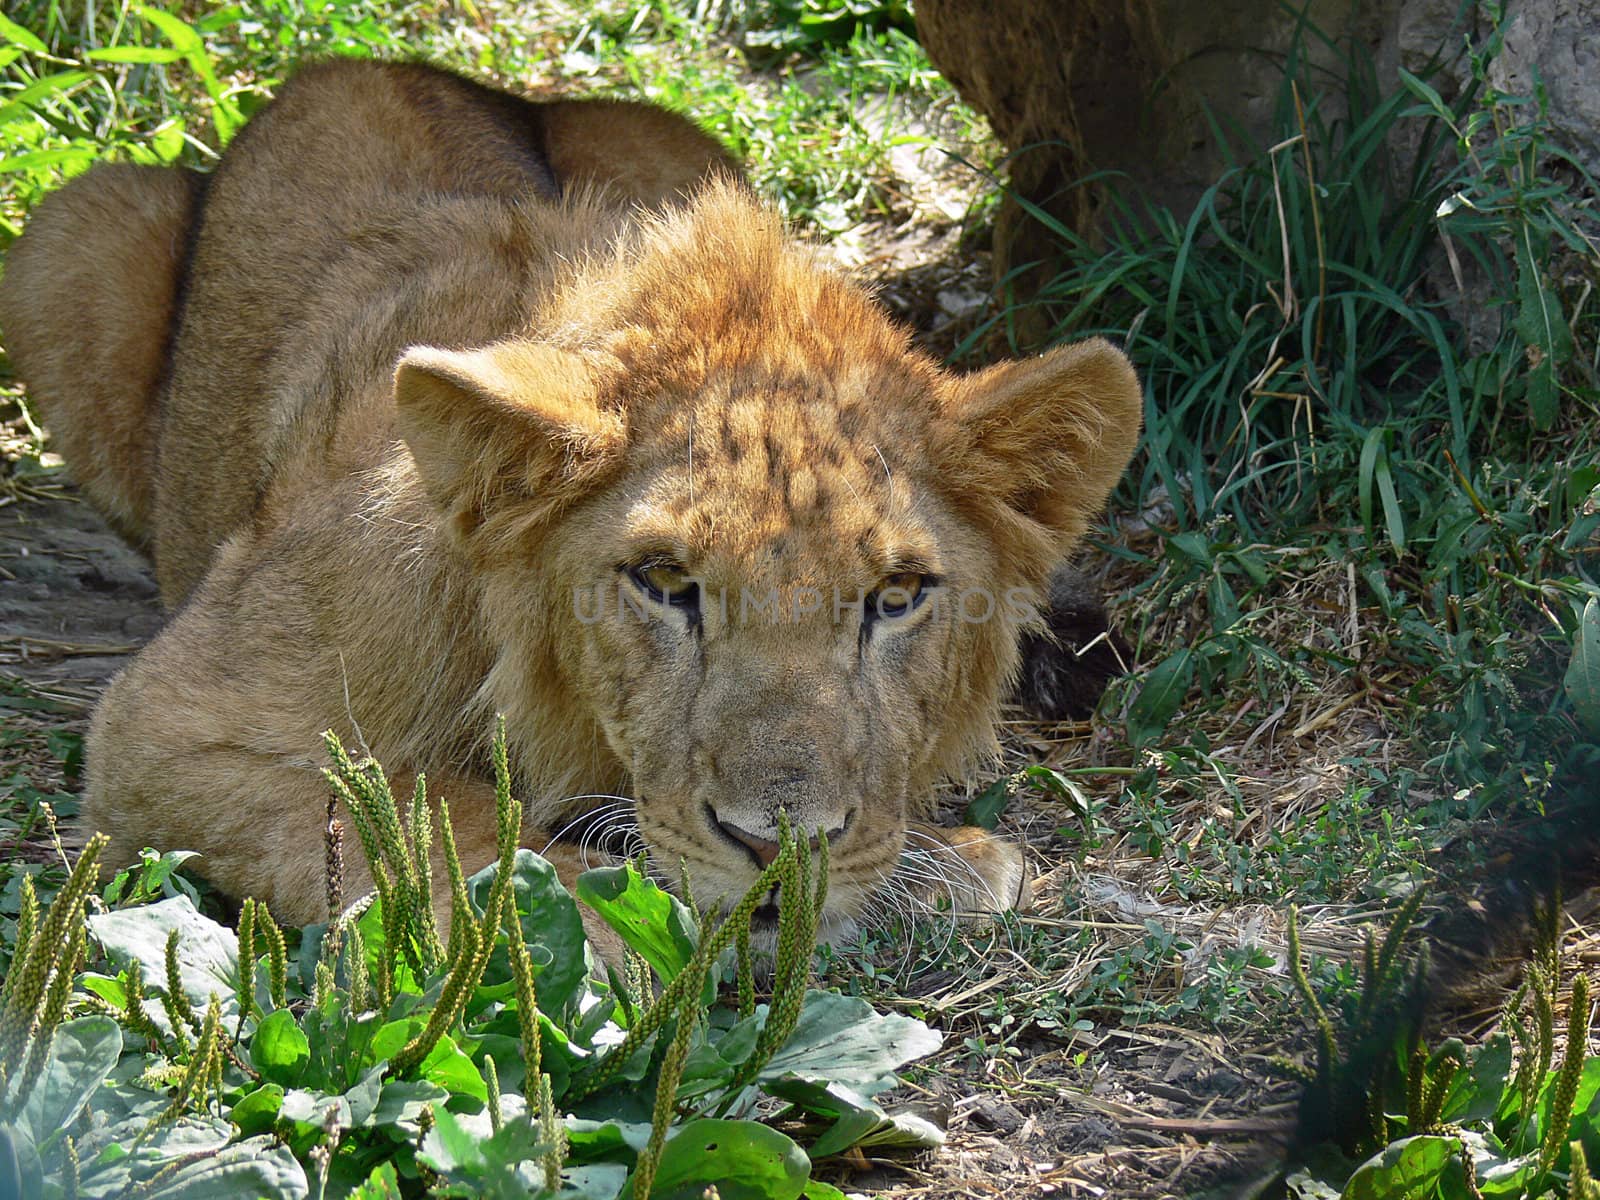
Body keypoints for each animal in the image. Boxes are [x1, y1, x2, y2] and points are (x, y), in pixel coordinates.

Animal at [3, 58, 1152, 940]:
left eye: (899, 597)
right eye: (663, 583)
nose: (781, 853)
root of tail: (384, 62)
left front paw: (946, 860)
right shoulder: (165, 724)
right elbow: (429, 815)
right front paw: (598, 933)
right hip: (70, 231)